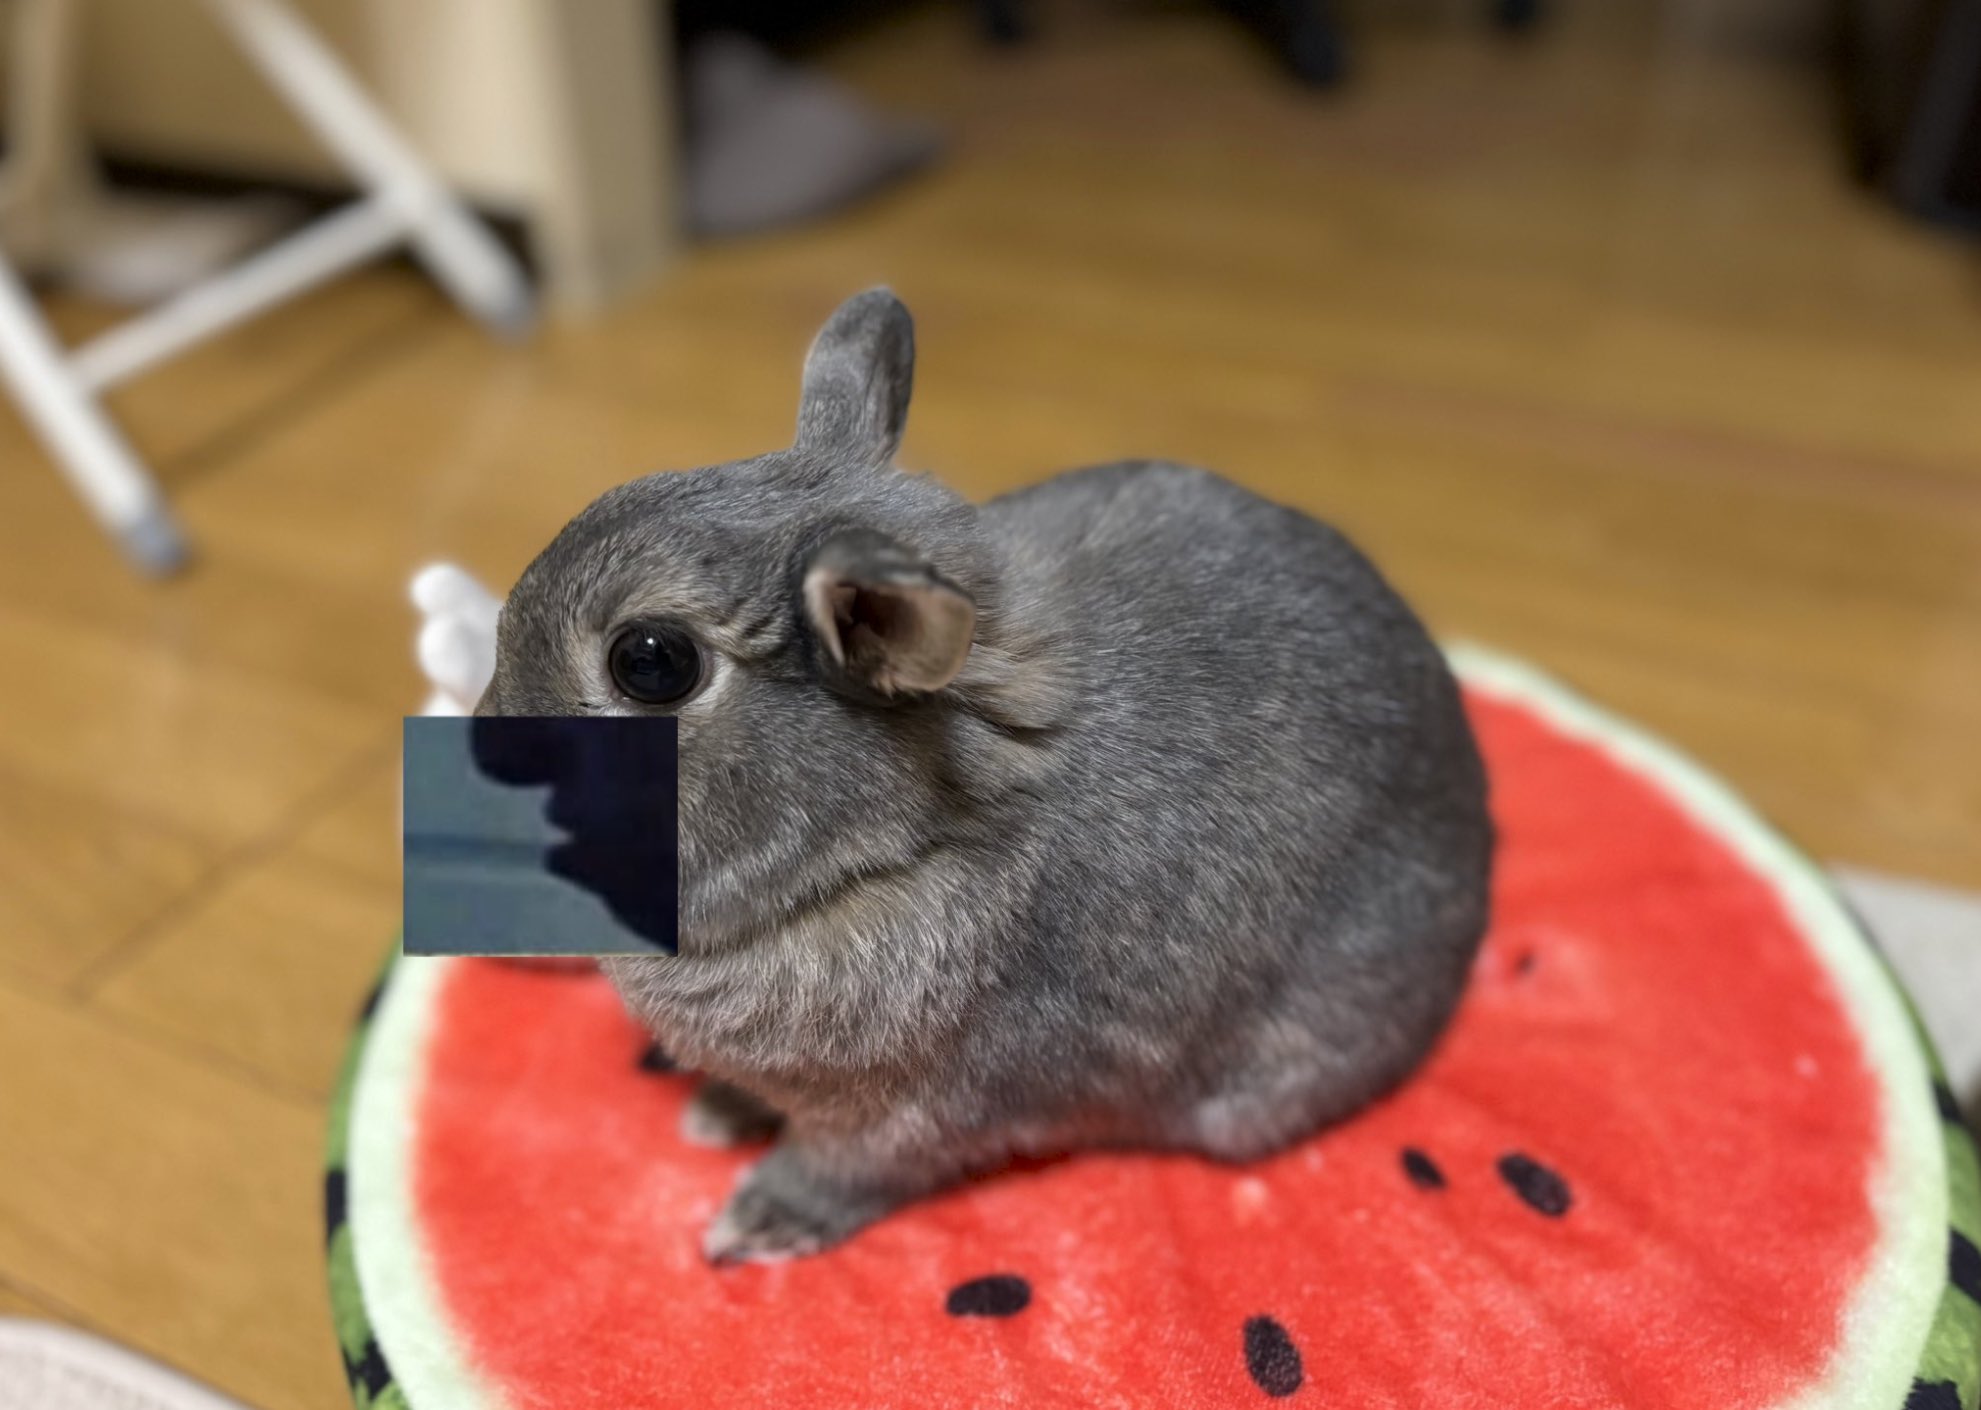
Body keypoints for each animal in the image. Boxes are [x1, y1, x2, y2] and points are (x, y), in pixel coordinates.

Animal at [475, 288, 1494, 1264]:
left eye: (650, 663)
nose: (489, 746)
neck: (903, 838)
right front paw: (717, 1112)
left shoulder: (910, 1118)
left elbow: (839, 1170)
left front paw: (756, 1223)